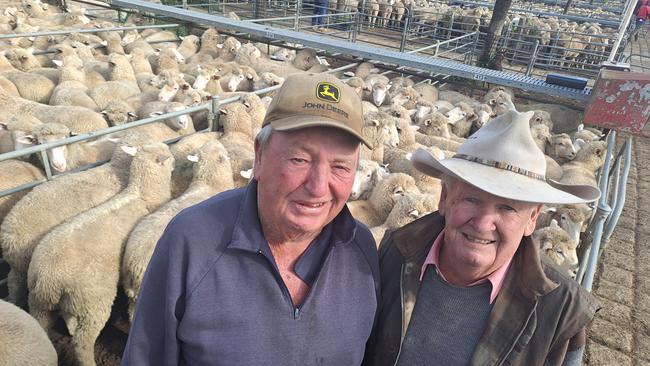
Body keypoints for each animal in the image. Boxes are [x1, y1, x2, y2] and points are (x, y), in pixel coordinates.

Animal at [28, 142, 172, 366]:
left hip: (40, 301)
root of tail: (47, 276)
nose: (173, 159)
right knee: (83, 342)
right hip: (93, 301)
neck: (143, 195)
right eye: (169, 155)